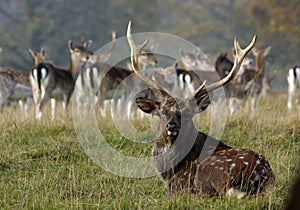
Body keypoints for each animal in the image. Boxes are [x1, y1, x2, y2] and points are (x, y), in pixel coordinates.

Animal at [126, 21, 274, 199]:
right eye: (162, 111)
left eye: (188, 114)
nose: (171, 126)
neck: (168, 170)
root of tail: (259, 178)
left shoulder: (177, 185)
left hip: (208, 172)